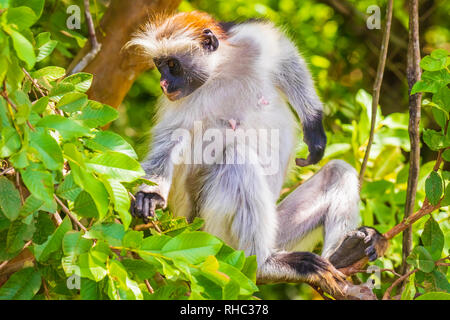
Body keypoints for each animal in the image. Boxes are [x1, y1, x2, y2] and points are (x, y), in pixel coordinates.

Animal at [126, 11, 386, 296]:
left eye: (172, 65)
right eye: (159, 65)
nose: (163, 83)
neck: (219, 74)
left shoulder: (250, 42)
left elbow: (284, 53)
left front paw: (314, 127)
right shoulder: (181, 102)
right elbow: (169, 141)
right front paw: (149, 194)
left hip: (278, 230)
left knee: (338, 171)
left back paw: (343, 255)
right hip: (216, 238)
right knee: (238, 160)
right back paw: (266, 265)